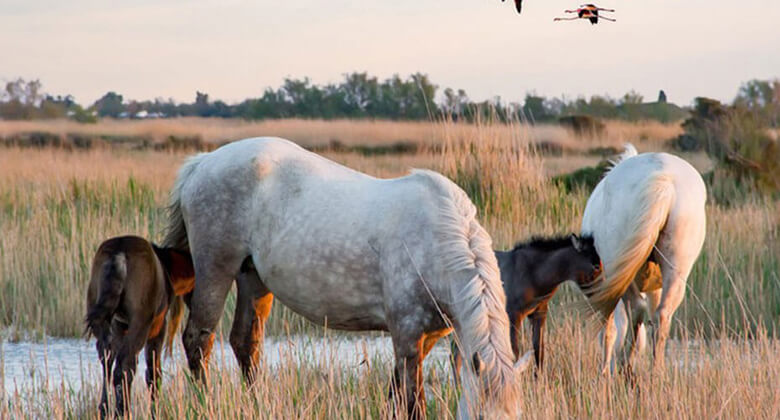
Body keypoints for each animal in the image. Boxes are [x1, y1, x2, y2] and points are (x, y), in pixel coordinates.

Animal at [84, 235, 195, 418]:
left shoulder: (120, 325)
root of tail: (119, 254)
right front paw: (154, 412)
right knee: (124, 366)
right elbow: (153, 372)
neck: (169, 270)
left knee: (108, 359)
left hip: (101, 315)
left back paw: (105, 409)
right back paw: (123, 411)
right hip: (141, 321)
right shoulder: (158, 326)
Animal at [161, 139, 532, 420]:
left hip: (252, 278)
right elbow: (412, 401)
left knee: (245, 343)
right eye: (480, 415)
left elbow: (396, 393)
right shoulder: (407, 333)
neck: (437, 239)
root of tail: (202, 163)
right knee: (199, 340)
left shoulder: (427, 337)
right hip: (215, 268)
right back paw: (205, 404)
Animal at [454, 235, 600, 376]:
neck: (533, 275)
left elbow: (538, 349)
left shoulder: (539, 313)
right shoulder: (513, 315)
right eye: (595, 266)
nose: (601, 296)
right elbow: (515, 351)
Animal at [580, 144, 708, 370]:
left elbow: (609, 331)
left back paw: (625, 364)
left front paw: (604, 370)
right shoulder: (655, 286)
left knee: (636, 310)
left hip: (620, 271)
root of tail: (665, 181)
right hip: (676, 270)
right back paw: (656, 371)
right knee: (661, 315)